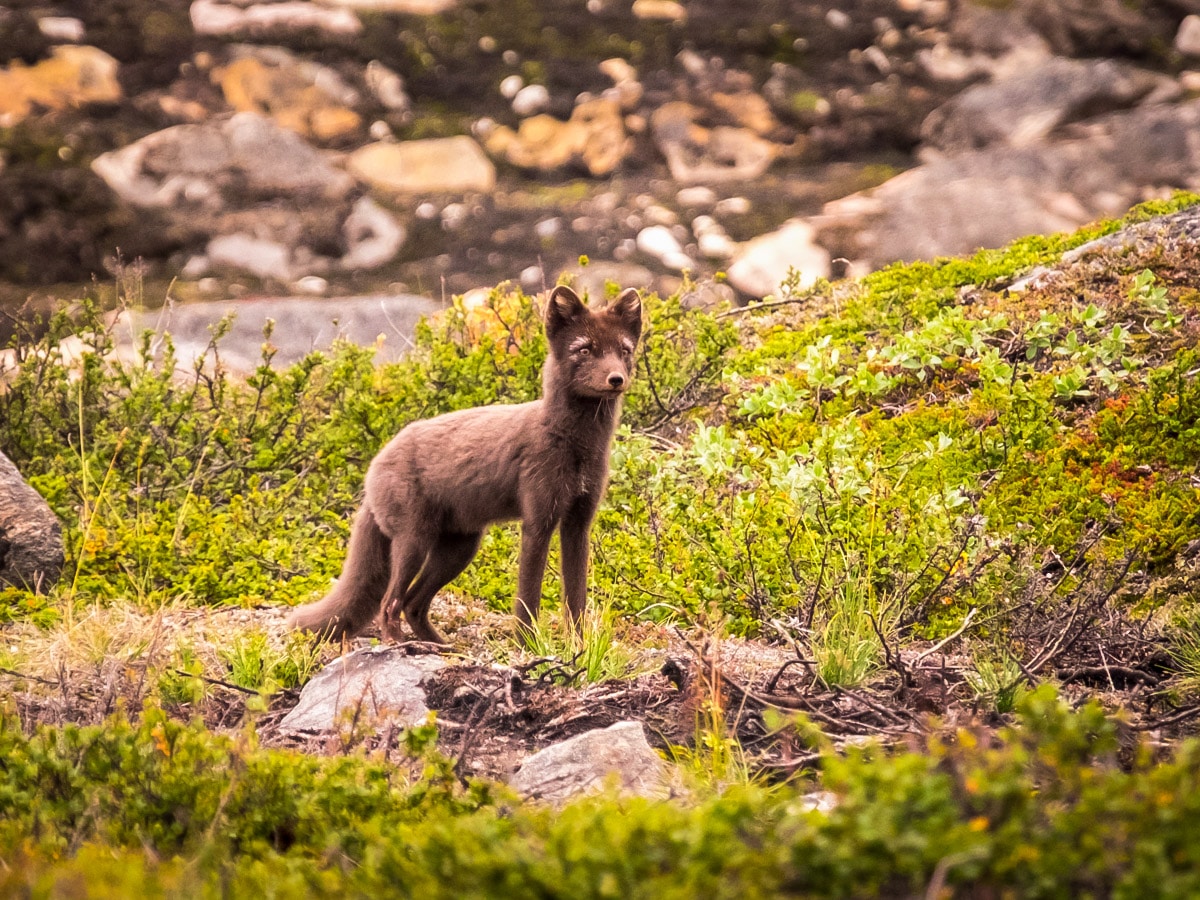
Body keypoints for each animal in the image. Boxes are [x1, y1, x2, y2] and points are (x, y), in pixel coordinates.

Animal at [286, 285, 643, 643]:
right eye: (584, 349)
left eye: (623, 351)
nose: (616, 379)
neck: (575, 445)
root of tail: (375, 464)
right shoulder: (538, 522)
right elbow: (527, 598)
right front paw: (527, 645)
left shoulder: (578, 523)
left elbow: (576, 599)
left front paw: (579, 644)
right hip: (414, 543)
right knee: (390, 603)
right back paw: (400, 644)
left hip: (459, 549)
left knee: (412, 604)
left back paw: (440, 647)